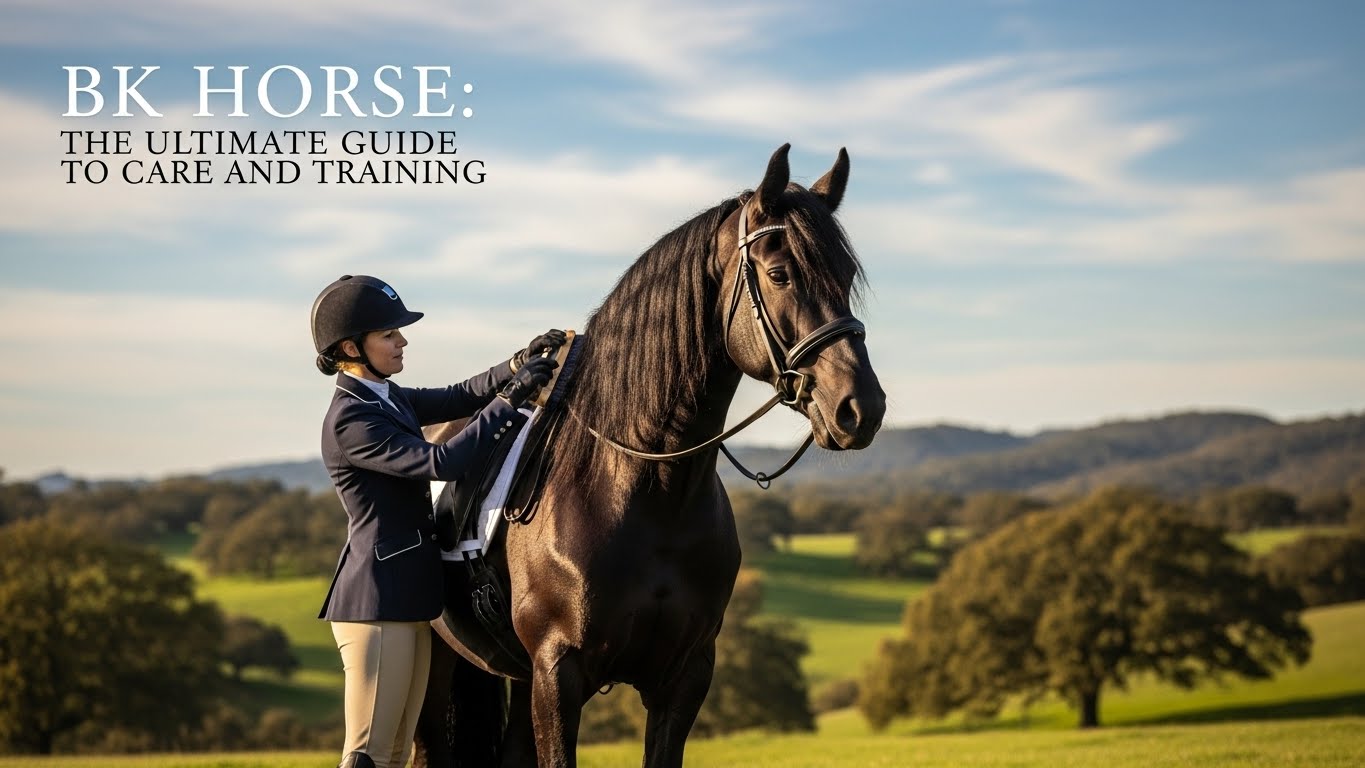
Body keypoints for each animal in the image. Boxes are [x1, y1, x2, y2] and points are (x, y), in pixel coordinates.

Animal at [414, 144, 886, 768]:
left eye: (846, 277)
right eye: (780, 274)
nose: (861, 407)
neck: (644, 489)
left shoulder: (683, 678)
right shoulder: (557, 675)